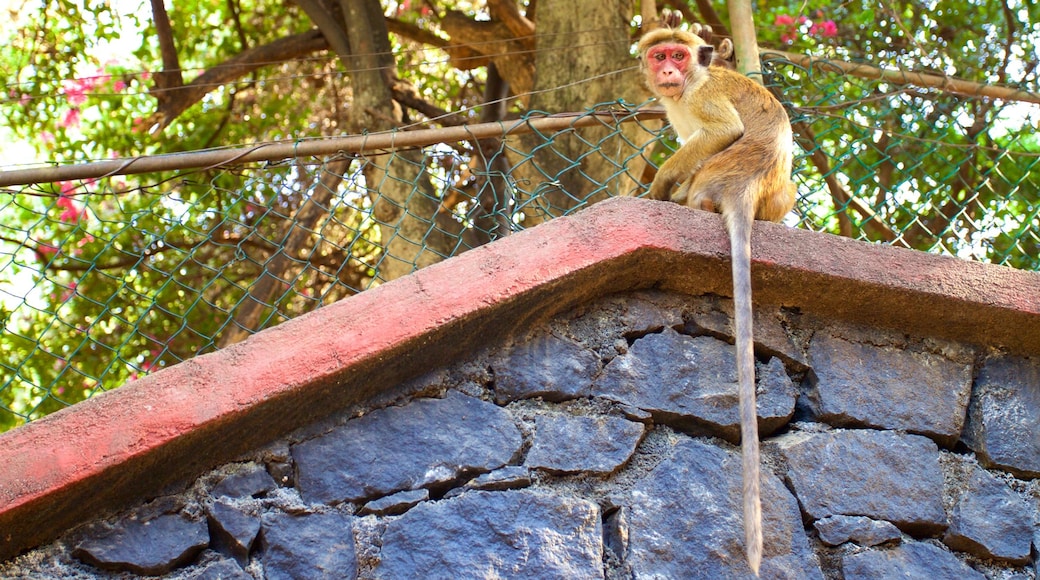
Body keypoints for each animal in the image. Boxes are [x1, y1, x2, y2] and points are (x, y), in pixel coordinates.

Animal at [632, 28, 794, 577]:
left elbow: (723, 129)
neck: (689, 84)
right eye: (660, 55)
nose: (668, 70)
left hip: (716, 174)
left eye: (679, 57)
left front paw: (659, 187)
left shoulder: (702, 92)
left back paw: (686, 201)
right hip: (776, 199)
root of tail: (744, 186)